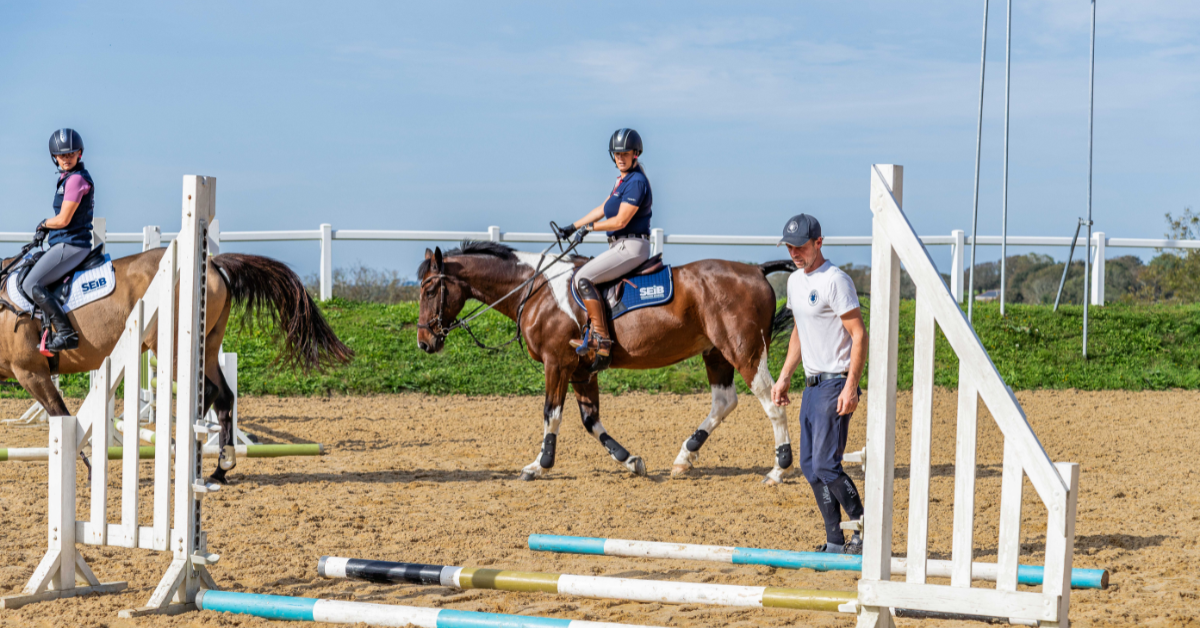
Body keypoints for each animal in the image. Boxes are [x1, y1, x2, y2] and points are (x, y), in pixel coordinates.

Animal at [0, 249, 355, 482]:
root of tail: (212, 264)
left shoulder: (30, 372)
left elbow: (60, 416)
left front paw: (87, 469)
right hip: (209, 347)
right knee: (224, 397)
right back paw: (220, 468)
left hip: (172, 349)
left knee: (208, 392)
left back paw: (187, 450)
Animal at [417, 243, 801, 485]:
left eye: (429, 289)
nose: (424, 342)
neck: (536, 290)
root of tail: (756, 270)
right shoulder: (580, 371)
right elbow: (591, 421)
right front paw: (629, 460)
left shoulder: (556, 364)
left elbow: (551, 414)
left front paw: (539, 465)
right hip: (716, 353)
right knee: (724, 401)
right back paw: (684, 457)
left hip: (745, 351)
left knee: (772, 403)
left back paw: (779, 469)